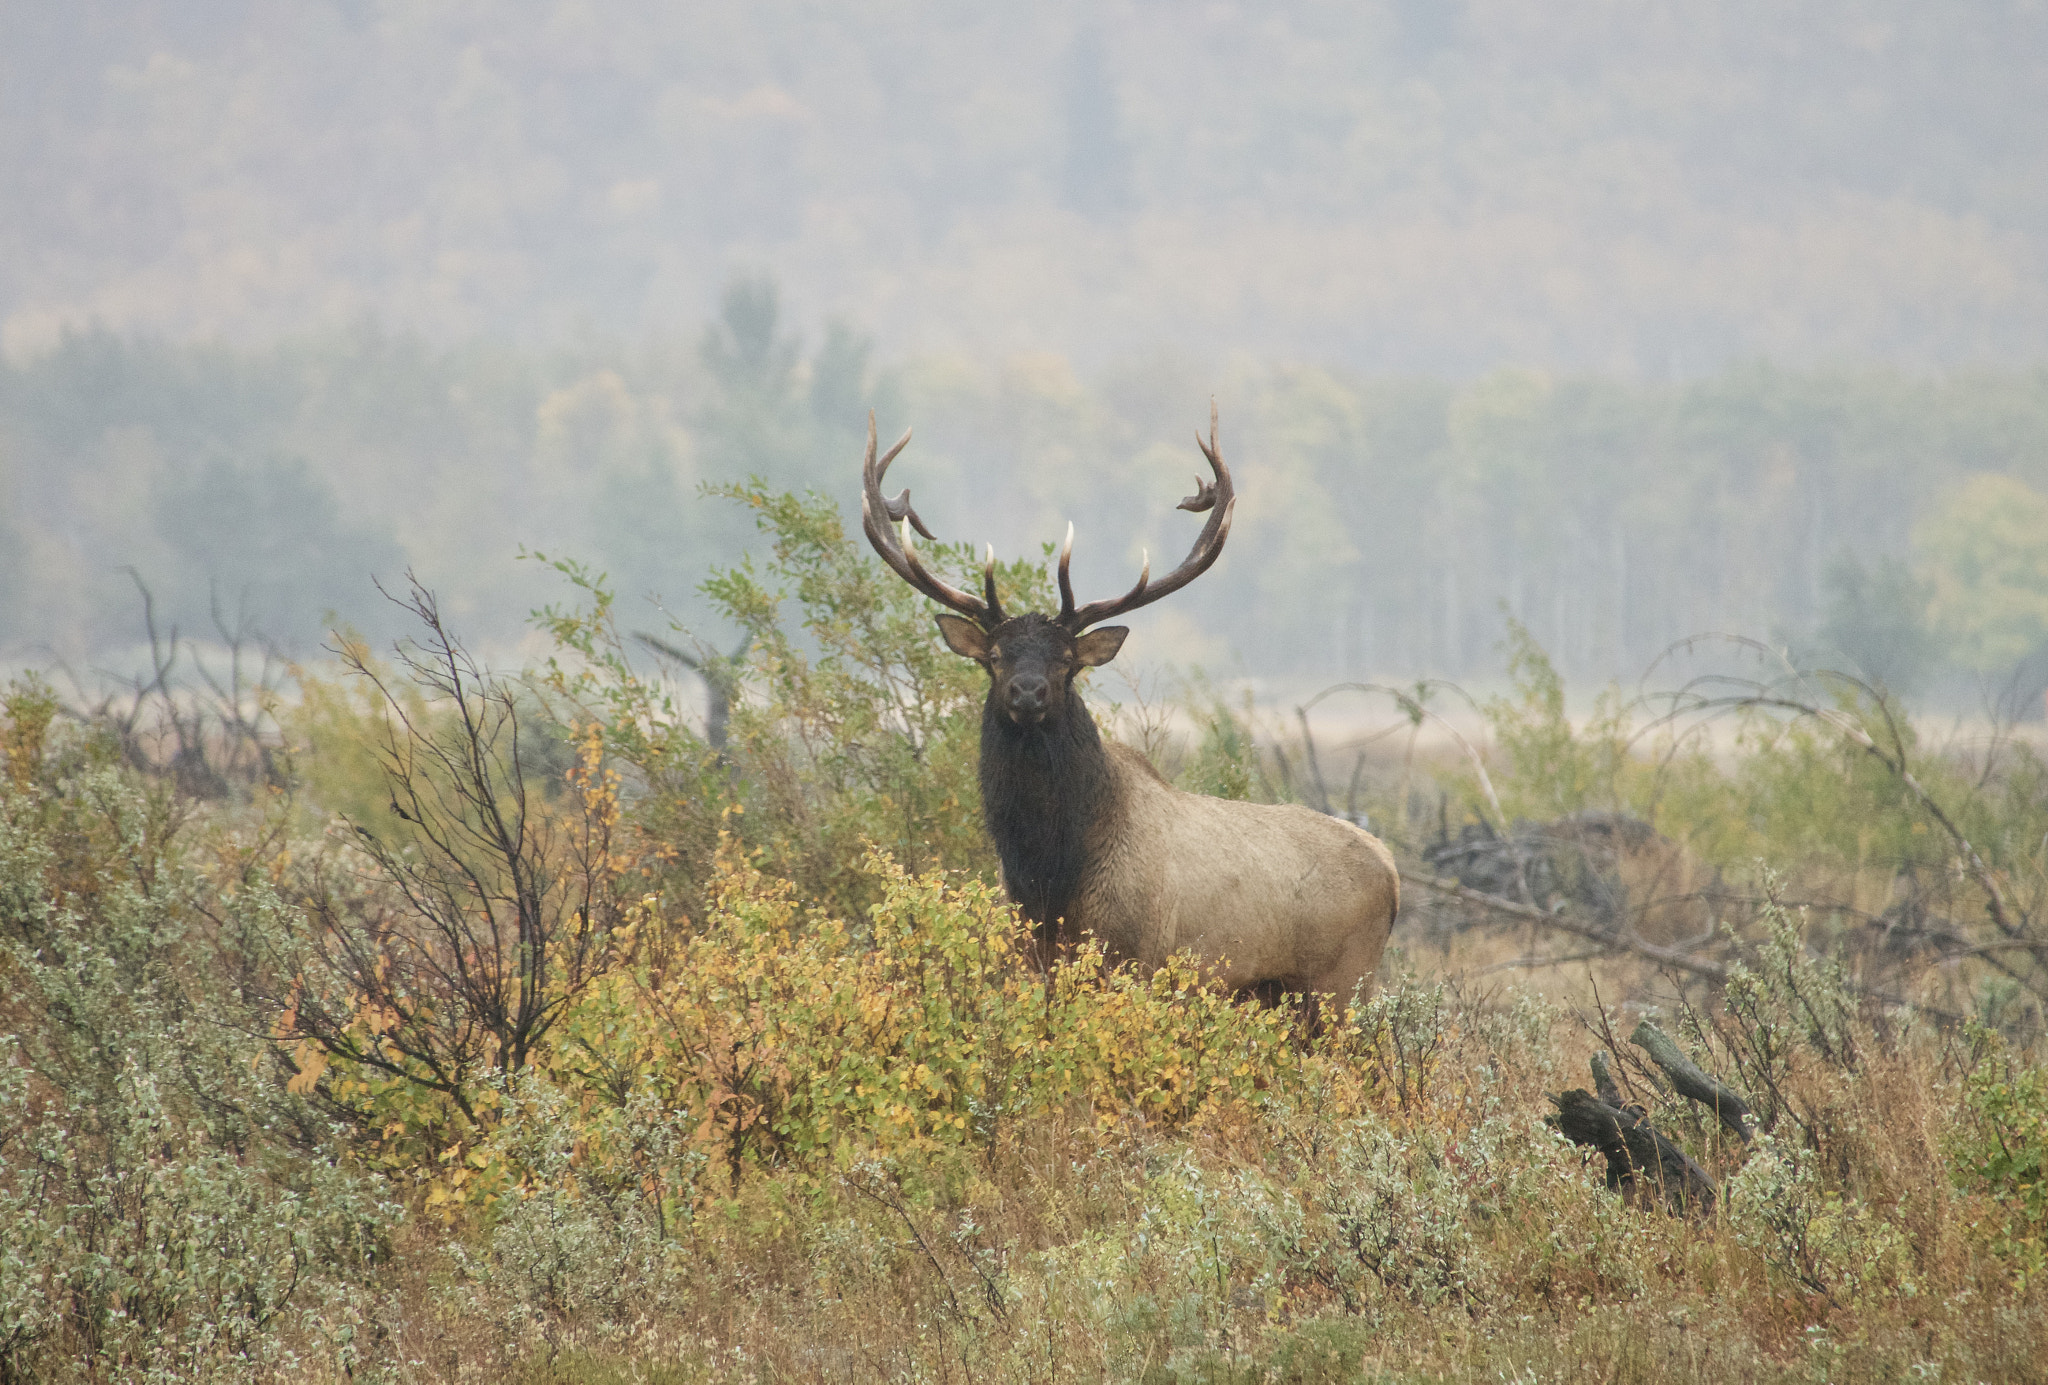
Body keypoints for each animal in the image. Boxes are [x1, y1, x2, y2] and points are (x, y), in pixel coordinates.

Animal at [856, 405, 1400, 999]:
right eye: (995, 656)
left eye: (1066, 660)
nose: (1028, 692)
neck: (1048, 876)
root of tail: (1393, 872)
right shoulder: (1031, 957)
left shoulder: (1133, 954)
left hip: (1342, 981)